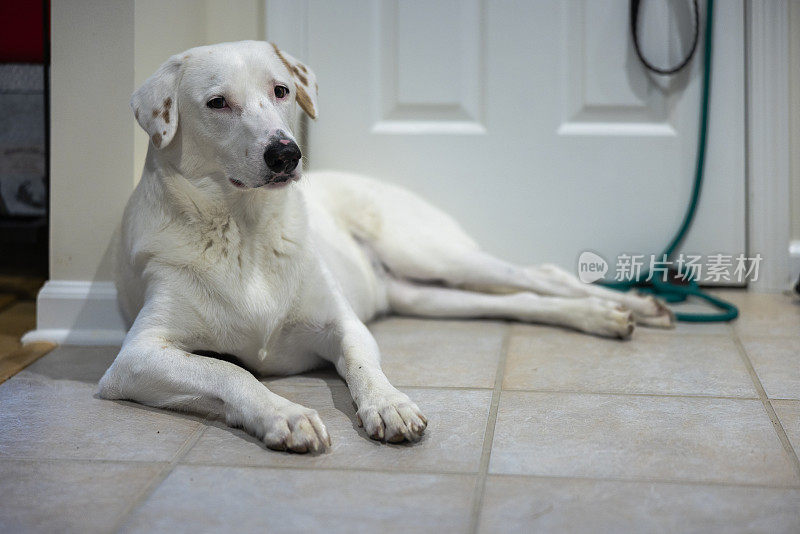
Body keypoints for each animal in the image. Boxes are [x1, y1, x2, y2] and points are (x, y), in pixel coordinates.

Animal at [100, 42, 676, 454]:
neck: (246, 231)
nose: (286, 154)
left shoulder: (344, 324)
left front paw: (389, 406)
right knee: (523, 302)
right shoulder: (135, 358)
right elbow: (228, 370)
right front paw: (284, 414)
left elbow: (361, 364)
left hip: (430, 253)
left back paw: (633, 306)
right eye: (217, 103)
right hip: (428, 295)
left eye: (281, 90)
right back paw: (604, 316)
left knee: (543, 275)